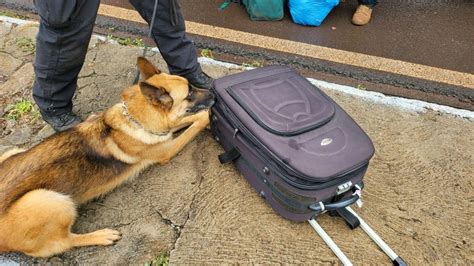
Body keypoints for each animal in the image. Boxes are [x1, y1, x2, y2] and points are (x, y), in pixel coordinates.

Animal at [0, 57, 213, 256]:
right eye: (189, 94)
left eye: (191, 85)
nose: (213, 93)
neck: (134, 118)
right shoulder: (168, 148)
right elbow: (195, 123)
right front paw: (208, 116)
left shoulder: (165, 131)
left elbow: (188, 119)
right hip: (52, 200)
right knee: (63, 243)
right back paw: (102, 235)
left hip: (12, 153)